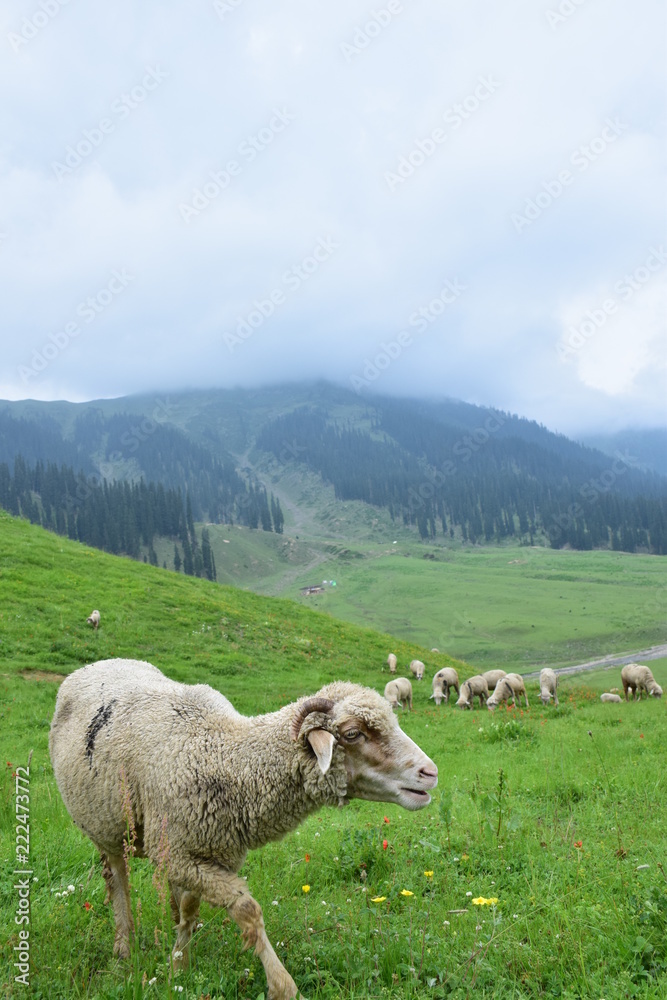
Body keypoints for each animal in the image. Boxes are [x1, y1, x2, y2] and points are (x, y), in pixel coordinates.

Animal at [50, 659, 437, 1000]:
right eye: (354, 734)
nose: (430, 772)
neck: (224, 757)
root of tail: (95, 664)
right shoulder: (178, 855)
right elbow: (247, 910)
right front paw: (283, 986)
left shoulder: (206, 853)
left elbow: (190, 908)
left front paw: (180, 962)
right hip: (106, 826)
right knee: (117, 880)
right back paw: (124, 946)